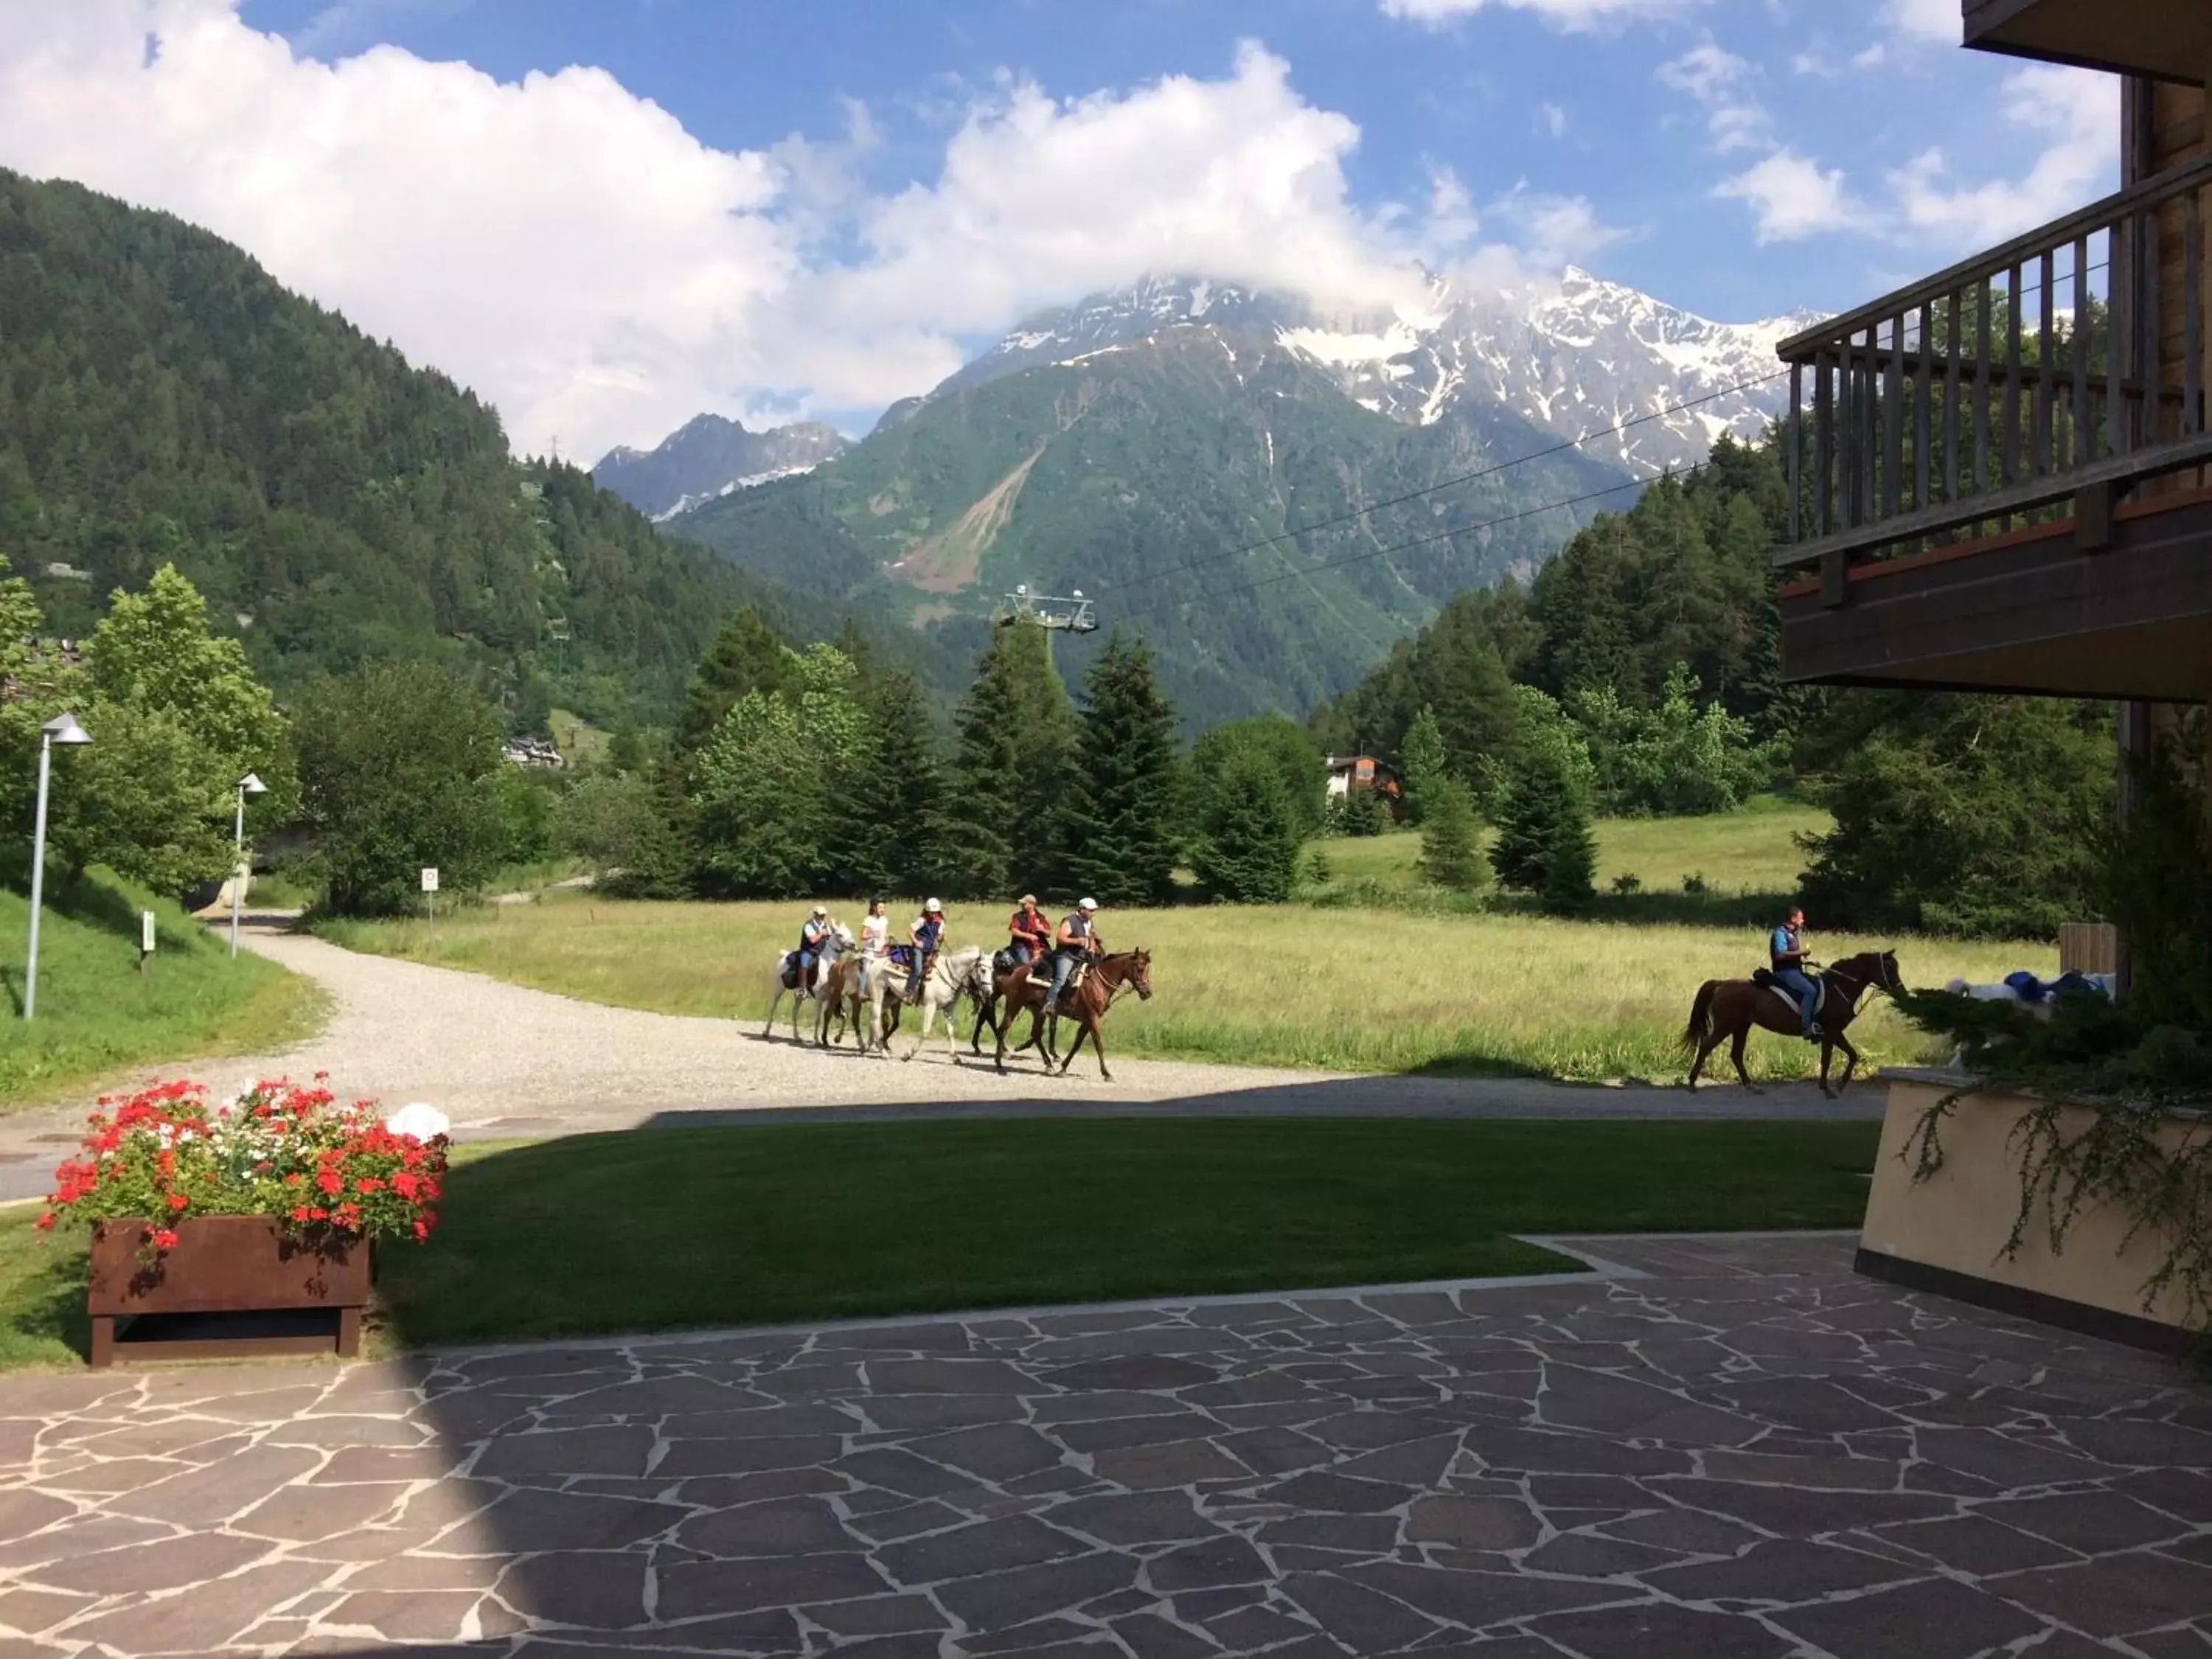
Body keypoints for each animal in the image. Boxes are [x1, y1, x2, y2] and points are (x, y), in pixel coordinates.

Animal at [770, 929, 854, 1044]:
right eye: (840, 934)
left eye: (849, 932)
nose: (853, 945)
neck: (829, 967)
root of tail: (784, 956)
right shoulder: (819, 999)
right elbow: (818, 1019)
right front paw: (817, 1039)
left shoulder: (834, 1000)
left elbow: (844, 1016)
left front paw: (837, 1038)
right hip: (779, 989)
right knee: (773, 1008)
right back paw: (766, 1032)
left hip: (798, 996)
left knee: (794, 1013)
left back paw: (797, 1036)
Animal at [867, 947, 991, 1066]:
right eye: (983, 970)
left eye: (992, 970)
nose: (989, 992)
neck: (949, 975)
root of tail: (876, 962)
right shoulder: (931, 1005)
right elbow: (926, 1031)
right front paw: (908, 1054)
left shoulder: (949, 1009)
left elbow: (950, 1032)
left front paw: (955, 1057)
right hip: (879, 994)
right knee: (875, 1019)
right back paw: (883, 1052)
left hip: (890, 998)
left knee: (873, 1019)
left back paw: (869, 1045)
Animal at [991, 956, 1159, 1084]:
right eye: (1140, 968)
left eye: (1147, 969)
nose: (1147, 993)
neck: (1098, 982)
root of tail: (1016, 970)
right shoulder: (1092, 1019)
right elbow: (1099, 1046)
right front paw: (1107, 1073)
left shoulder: (1086, 1021)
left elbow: (1077, 1045)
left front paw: (1063, 1069)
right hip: (1014, 1005)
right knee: (1004, 1029)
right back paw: (999, 1062)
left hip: (1038, 1011)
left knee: (1036, 1034)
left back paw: (1048, 1065)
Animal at [1672, 947, 1902, 1106]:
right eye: (1890, 967)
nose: (1900, 990)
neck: (1838, 988)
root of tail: (1721, 984)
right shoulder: (1833, 1032)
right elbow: (1847, 1056)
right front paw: (1836, 1088)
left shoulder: (1829, 1035)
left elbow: (1835, 1058)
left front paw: (1828, 1087)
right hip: (1725, 1027)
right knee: (1706, 1047)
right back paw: (1692, 1084)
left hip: (1741, 1027)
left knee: (1736, 1055)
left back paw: (1752, 1087)